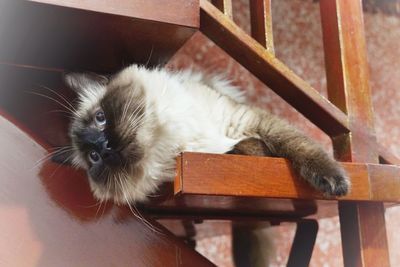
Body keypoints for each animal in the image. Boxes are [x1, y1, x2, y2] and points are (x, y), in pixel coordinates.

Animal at [54, 63, 348, 205]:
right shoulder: (232, 141)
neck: (175, 138)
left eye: (100, 118)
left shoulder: (247, 119)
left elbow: (300, 147)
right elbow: (248, 148)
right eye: (93, 158)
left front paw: (336, 182)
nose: (104, 146)